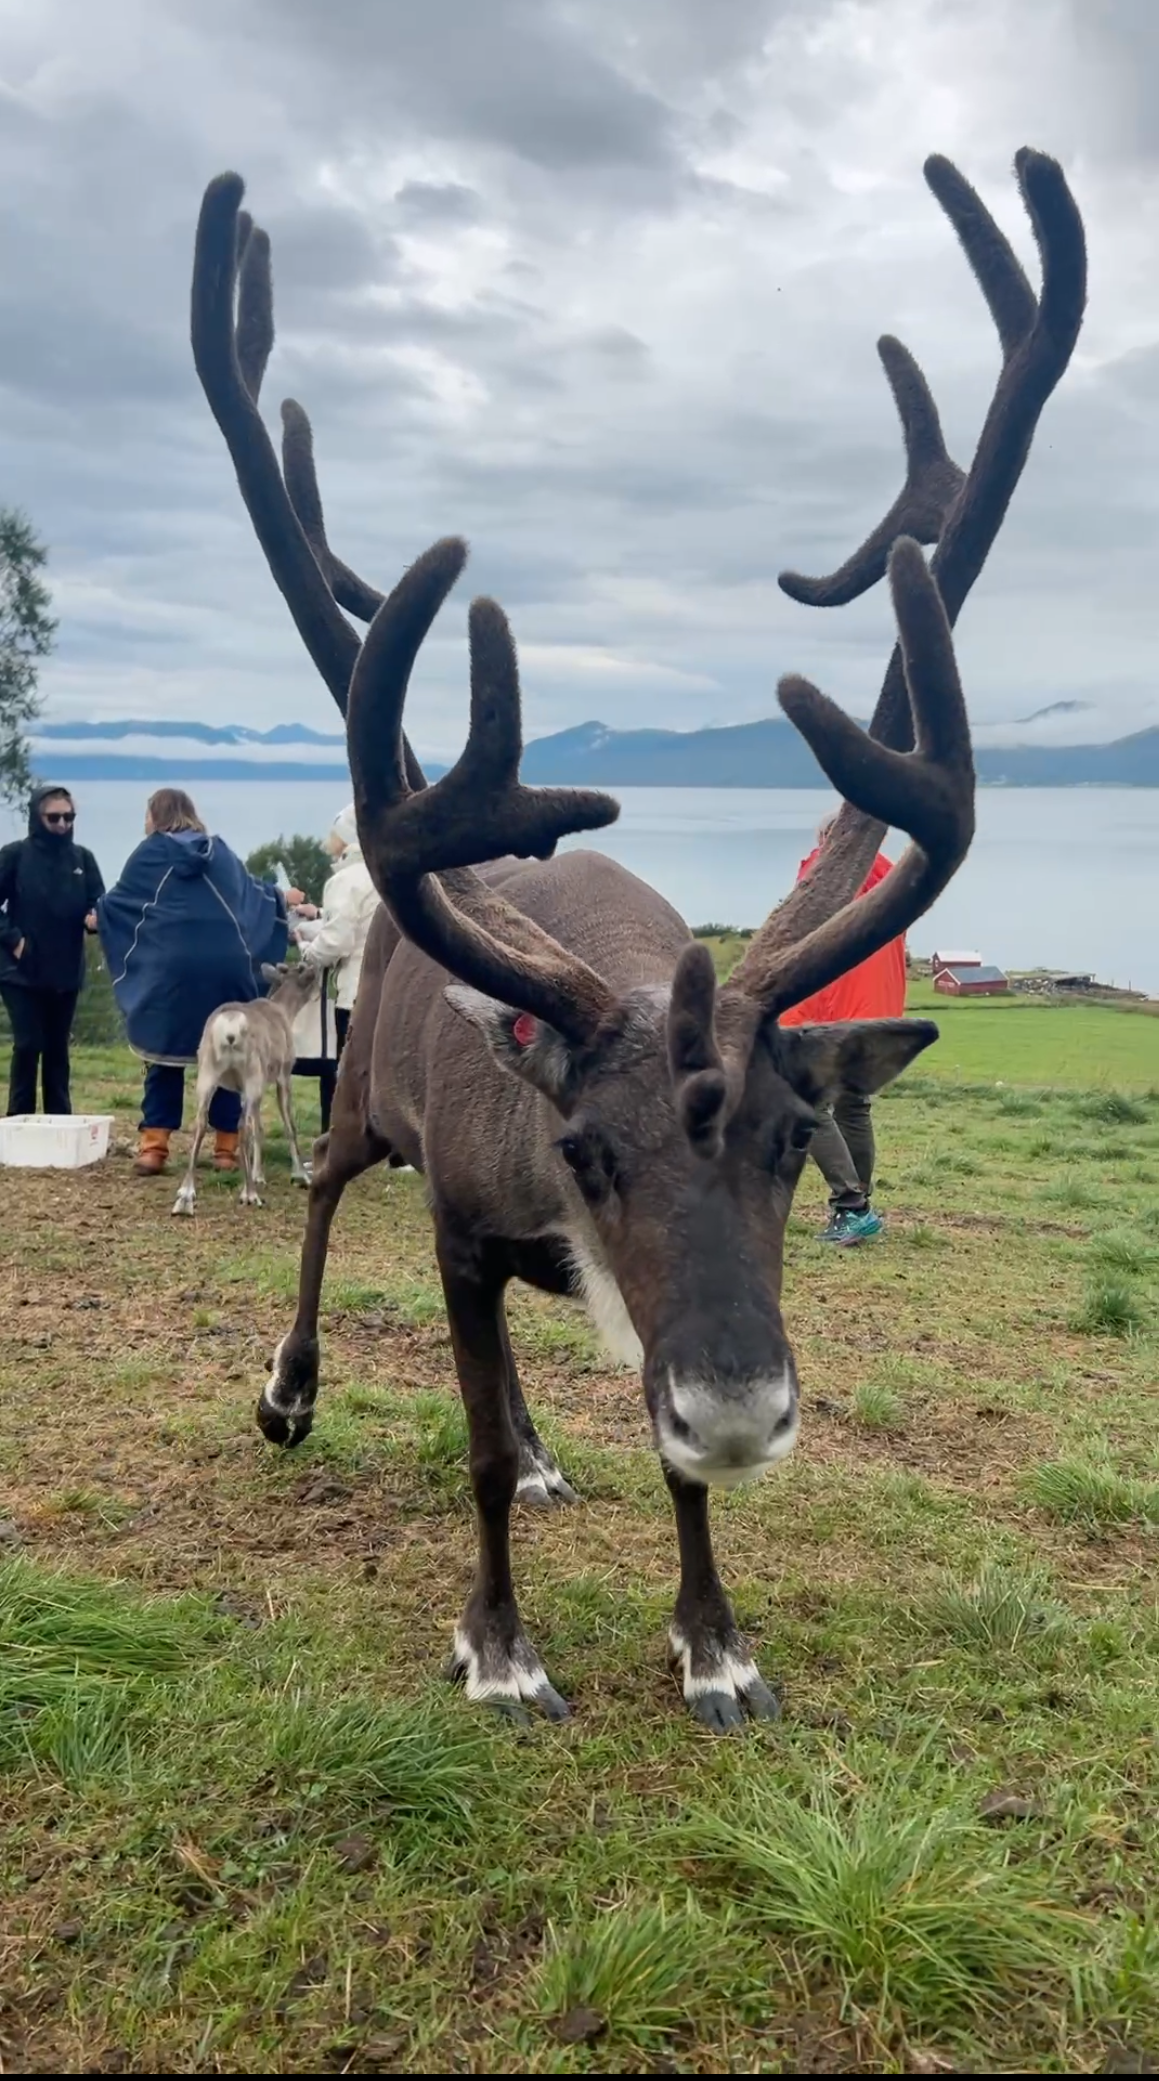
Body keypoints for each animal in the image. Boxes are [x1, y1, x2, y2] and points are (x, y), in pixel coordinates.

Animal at [172, 962, 320, 1218]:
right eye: (305, 971)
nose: (320, 972)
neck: (285, 1011)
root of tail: (230, 1027)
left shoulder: (249, 1087)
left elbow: (258, 1127)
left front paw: (258, 1174)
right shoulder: (283, 1075)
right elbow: (289, 1126)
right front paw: (301, 1175)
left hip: (207, 1071)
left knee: (201, 1122)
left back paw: (186, 1195)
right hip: (252, 1071)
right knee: (240, 1126)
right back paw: (249, 1194)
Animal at [190, 146, 1085, 1728]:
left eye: (794, 1138)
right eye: (586, 1148)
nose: (738, 1409)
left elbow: (646, 1465)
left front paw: (714, 1640)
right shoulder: (460, 1224)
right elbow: (474, 1446)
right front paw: (497, 1646)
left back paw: (551, 1449)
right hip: (360, 1106)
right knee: (318, 1193)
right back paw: (289, 1388)